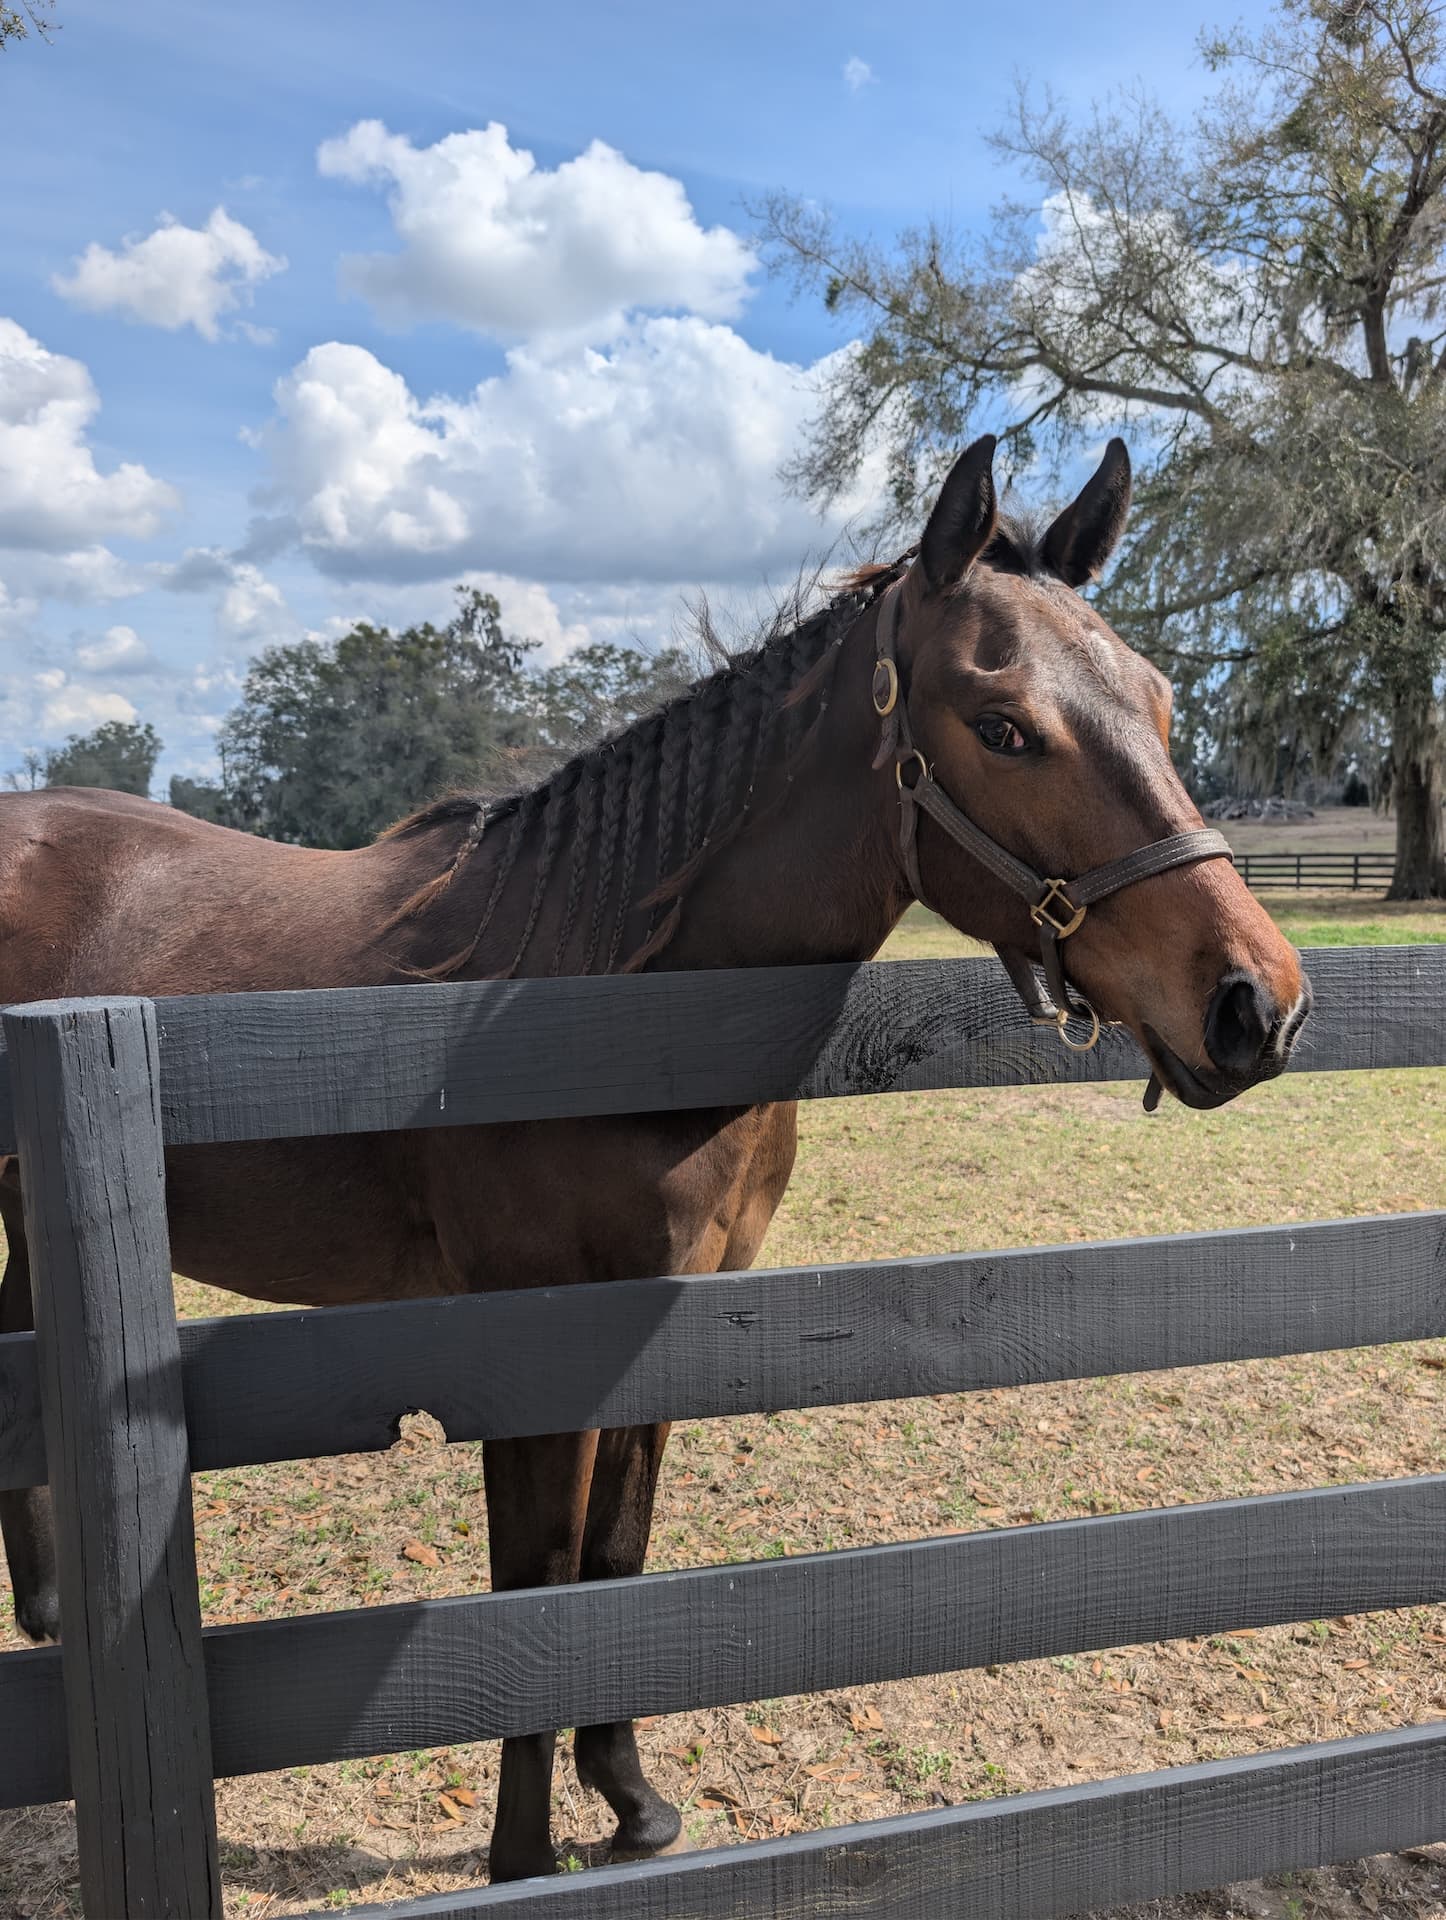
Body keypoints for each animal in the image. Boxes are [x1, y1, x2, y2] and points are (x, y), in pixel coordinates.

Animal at [0, 436, 1310, 1882]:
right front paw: (523, 1856)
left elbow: (613, 1564)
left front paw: (626, 1799)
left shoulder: (666, 1320)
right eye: (1004, 724)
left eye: (1162, 703)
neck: (604, 1004)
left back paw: (49, 1609)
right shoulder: (529, 1351)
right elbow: (536, 1589)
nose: (1253, 1003)